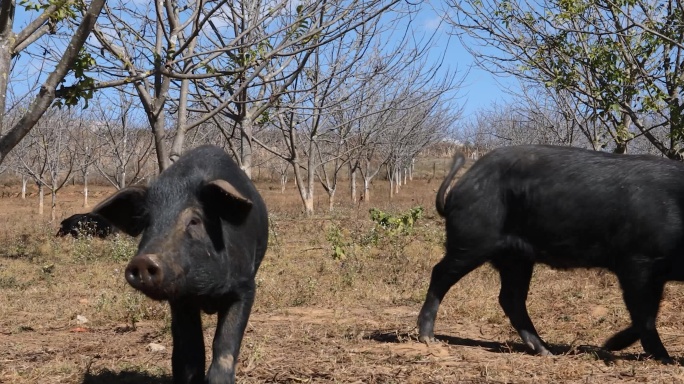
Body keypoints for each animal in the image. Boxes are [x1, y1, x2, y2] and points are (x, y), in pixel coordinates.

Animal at [92, 146, 268, 382]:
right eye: (147, 222)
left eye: (194, 221)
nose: (144, 260)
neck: (207, 292)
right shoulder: (180, 300)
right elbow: (189, 356)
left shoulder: (245, 286)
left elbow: (224, 346)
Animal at [420, 144, 684, 364]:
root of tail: (461, 185)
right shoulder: (637, 261)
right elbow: (644, 313)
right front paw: (660, 358)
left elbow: (649, 312)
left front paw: (617, 346)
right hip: (473, 240)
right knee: (440, 274)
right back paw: (428, 338)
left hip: (516, 258)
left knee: (510, 298)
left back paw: (545, 351)